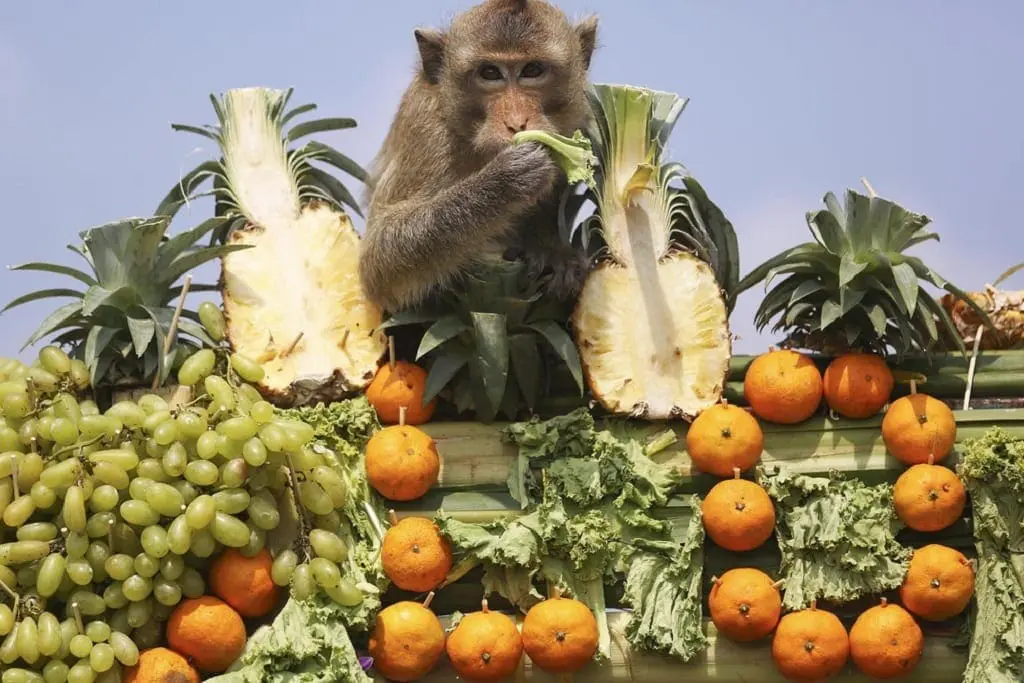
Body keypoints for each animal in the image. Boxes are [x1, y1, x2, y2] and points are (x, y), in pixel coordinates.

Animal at [359, 0, 599, 314]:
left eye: (532, 69)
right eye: (490, 73)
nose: (516, 122)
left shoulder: (580, 116)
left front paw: (551, 251)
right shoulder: (427, 131)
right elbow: (379, 258)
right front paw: (503, 182)